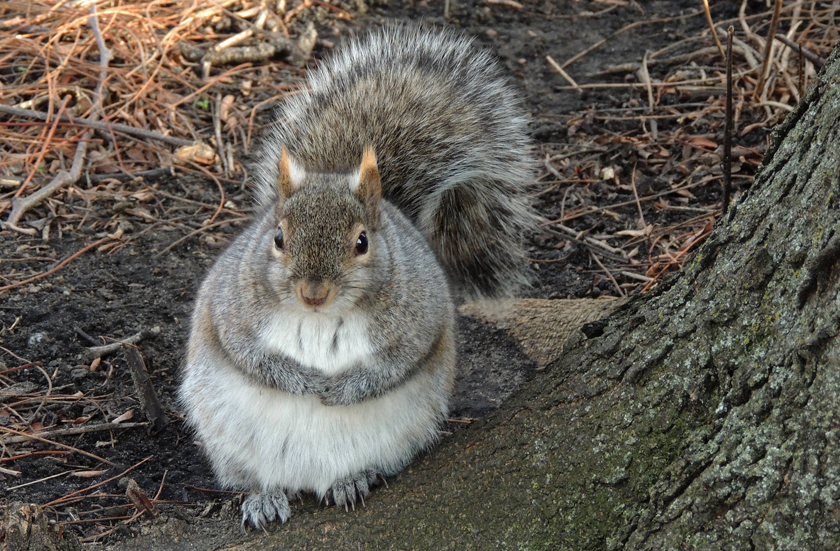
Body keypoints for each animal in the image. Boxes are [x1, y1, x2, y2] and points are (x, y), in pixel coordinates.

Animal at [179, 25, 538, 529]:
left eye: (362, 243)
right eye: (278, 237)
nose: (313, 293)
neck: (320, 317)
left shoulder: (417, 319)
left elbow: (395, 364)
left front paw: (342, 388)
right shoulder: (231, 311)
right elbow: (250, 355)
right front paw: (301, 381)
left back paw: (351, 480)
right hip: (226, 436)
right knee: (256, 477)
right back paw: (264, 497)